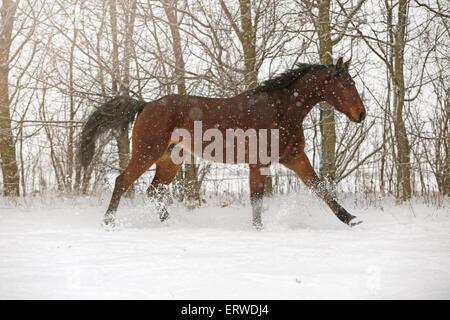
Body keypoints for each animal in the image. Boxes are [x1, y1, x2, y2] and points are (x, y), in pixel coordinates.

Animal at [79, 57, 366, 228]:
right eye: (346, 84)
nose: (361, 115)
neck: (281, 109)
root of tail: (145, 105)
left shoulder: (294, 157)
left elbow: (320, 188)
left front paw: (350, 219)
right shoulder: (259, 162)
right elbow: (257, 198)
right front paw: (258, 228)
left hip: (170, 160)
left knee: (154, 191)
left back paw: (169, 223)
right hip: (145, 153)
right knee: (123, 181)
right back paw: (108, 222)